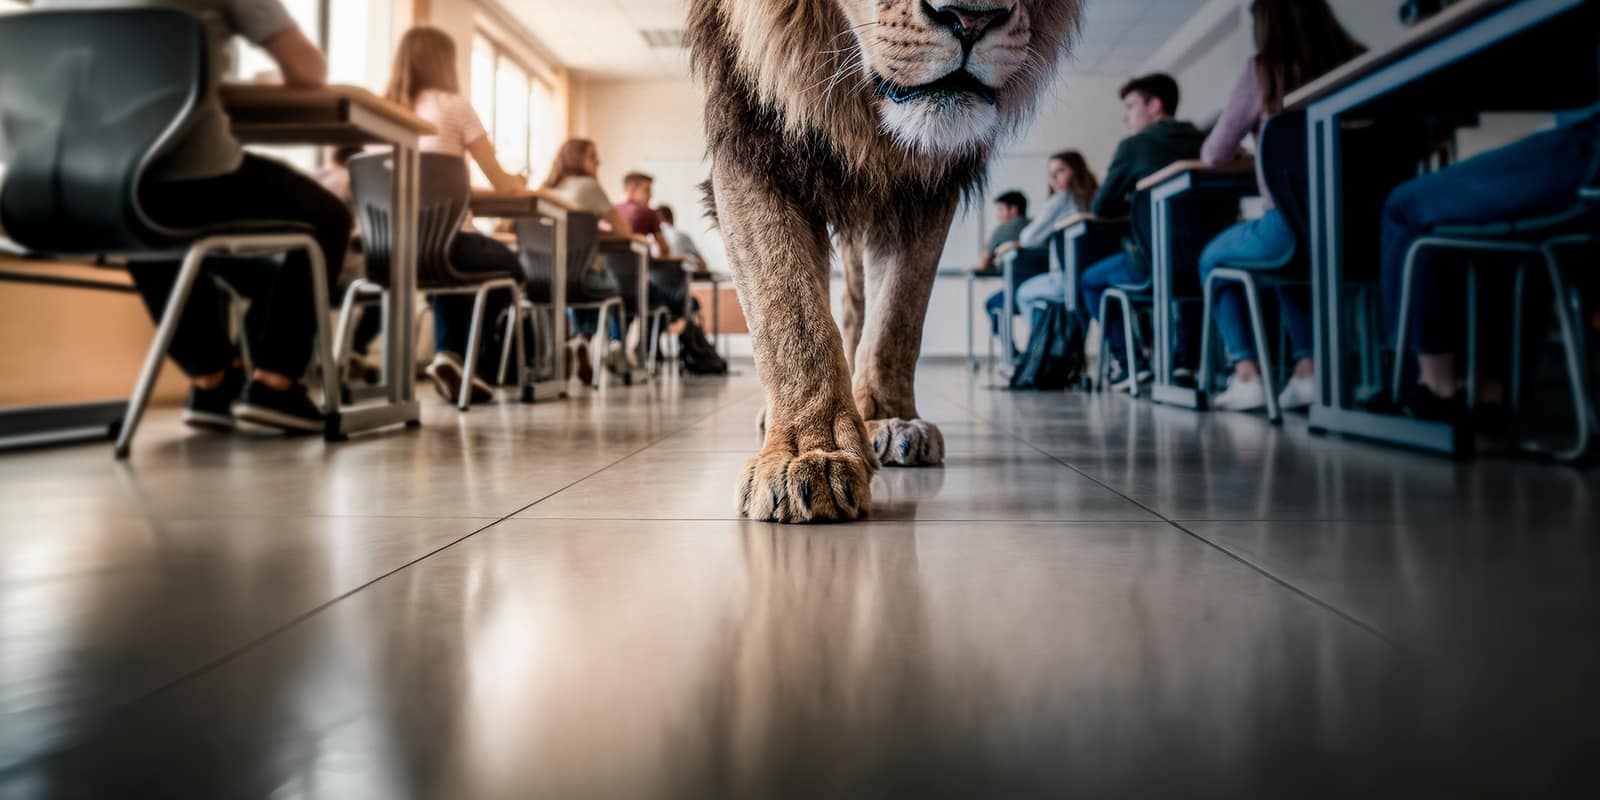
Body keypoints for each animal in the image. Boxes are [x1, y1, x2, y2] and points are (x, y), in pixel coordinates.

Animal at [687, 0, 1081, 522]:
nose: (972, 20)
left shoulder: (925, 186)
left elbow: (897, 316)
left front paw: (887, 418)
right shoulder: (749, 131)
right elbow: (788, 313)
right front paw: (807, 456)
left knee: (858, 309)